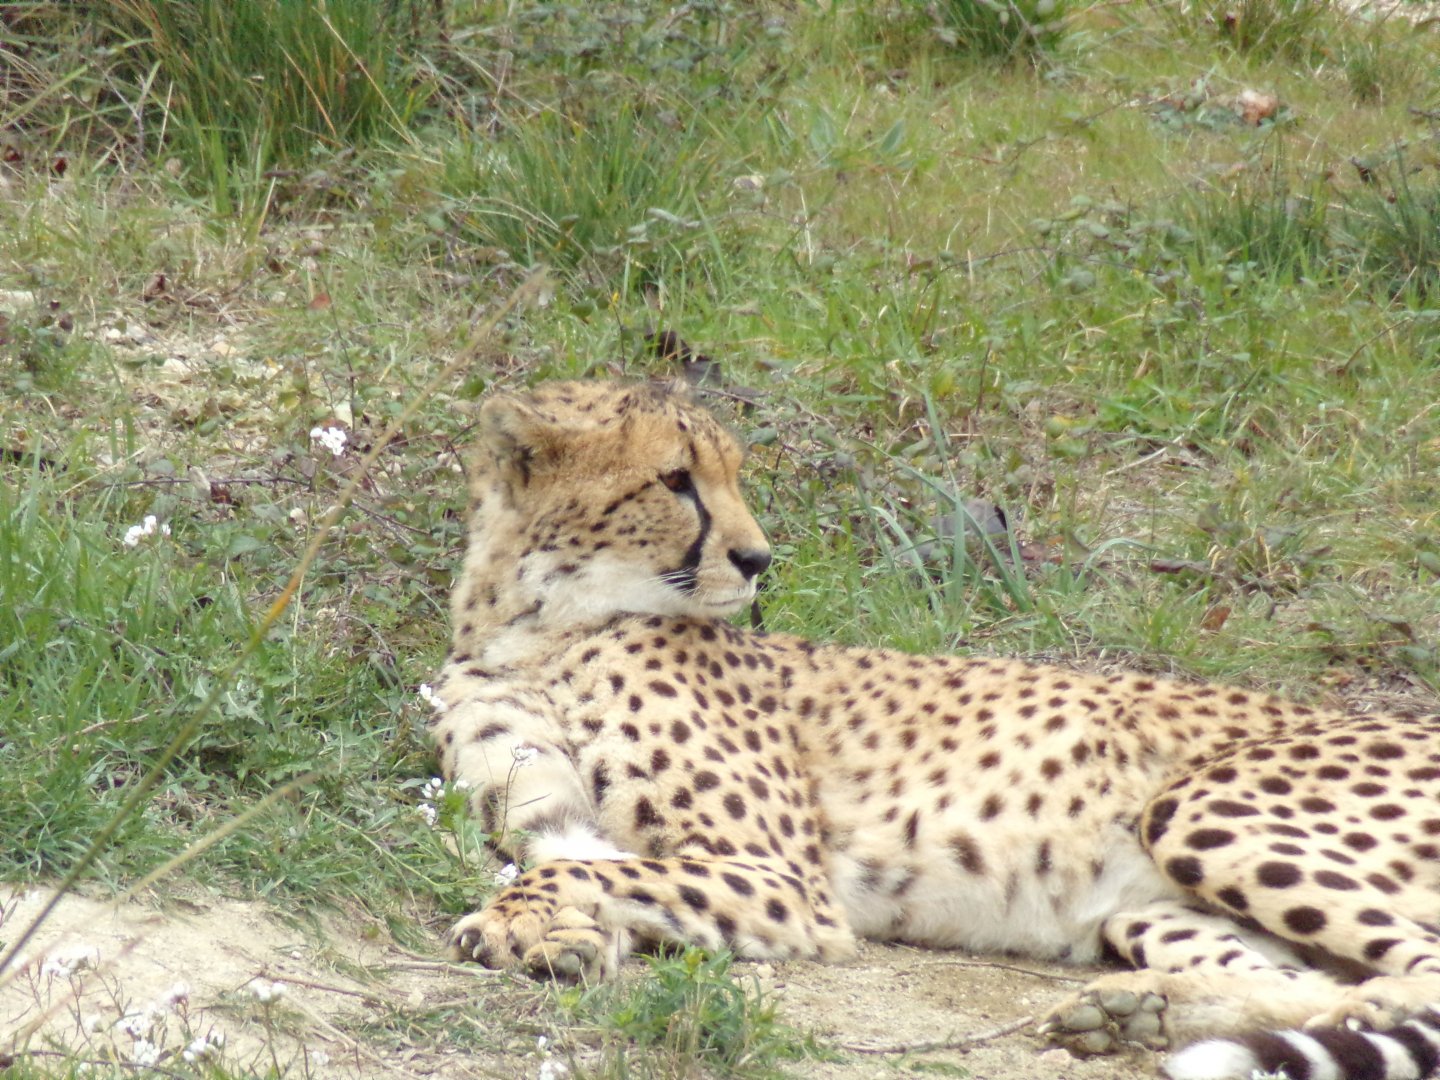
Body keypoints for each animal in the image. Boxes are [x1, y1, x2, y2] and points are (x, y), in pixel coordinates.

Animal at [426, 378, 1440, 1080]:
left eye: (731, 475)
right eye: (675, 480)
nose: (758, 559)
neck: (536, 625)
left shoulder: (785, 880)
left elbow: (576, 874)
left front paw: (523, 926)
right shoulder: (556, 819)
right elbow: (563, 863)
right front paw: (564, 936)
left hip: (1199, 809)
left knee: (1410, 981)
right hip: (1148, 910)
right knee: (1330, 988)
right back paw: (1140, 1011)